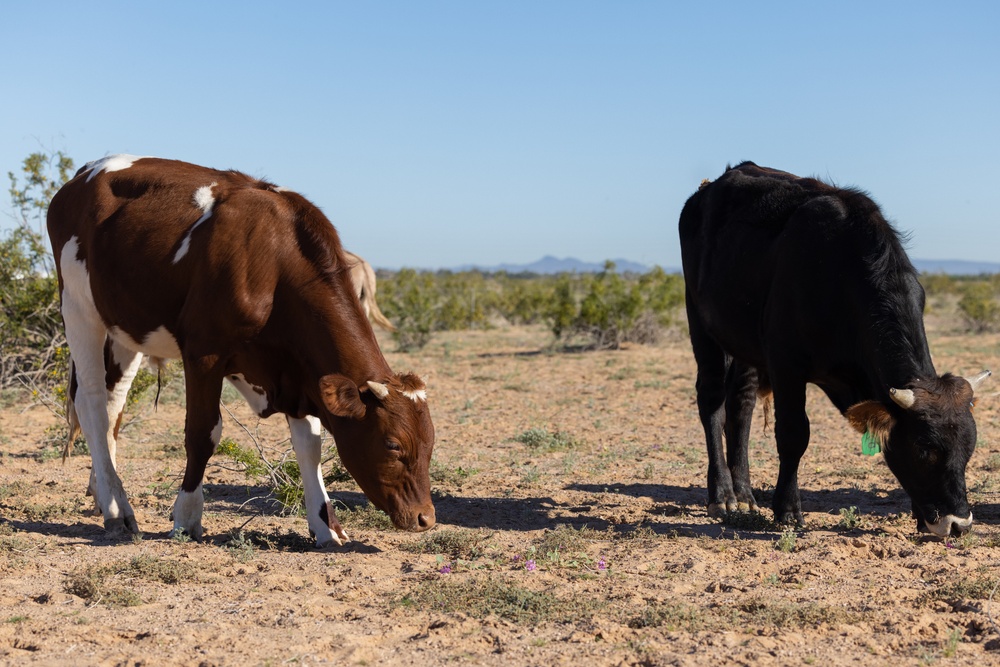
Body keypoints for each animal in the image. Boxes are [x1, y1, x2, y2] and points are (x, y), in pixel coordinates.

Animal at [47, 157, 434, 548]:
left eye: (430, 442)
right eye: (392, 445)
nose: (425, 518)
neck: (275, 263)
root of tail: (87, 172)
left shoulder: (297, 373)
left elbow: (310, 445)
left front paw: (326, 526)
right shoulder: (203, 354)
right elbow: (202, 433)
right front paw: (186, 516)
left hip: (124, 329)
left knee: (113, 406)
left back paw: (103, 493)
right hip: (79, 309)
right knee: (92, 405)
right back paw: (117, 510)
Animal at [680, 162, 984, 536]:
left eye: (968, 448)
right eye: (924, 449)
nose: (959, 524)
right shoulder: (786, 364)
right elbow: (794, 433)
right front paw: (787, 510)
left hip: (744, 346)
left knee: (741, 406)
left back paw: (745, 494)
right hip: (703, 327)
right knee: (712, 401)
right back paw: (722, 495)